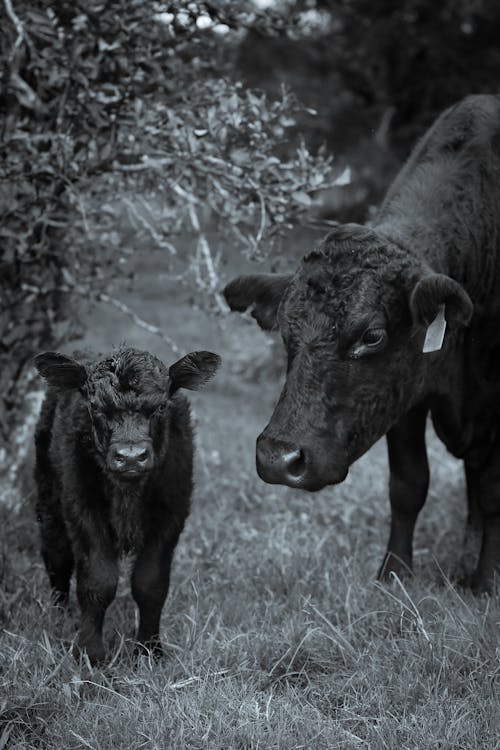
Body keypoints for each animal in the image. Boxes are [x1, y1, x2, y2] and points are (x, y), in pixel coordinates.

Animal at [225, 94, 500, 592]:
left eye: (372, 336)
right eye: (286, 331)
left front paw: (488, 582)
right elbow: (409, 484)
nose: (278, 458)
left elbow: (492, 493)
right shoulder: (406, 396)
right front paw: (393, 574)